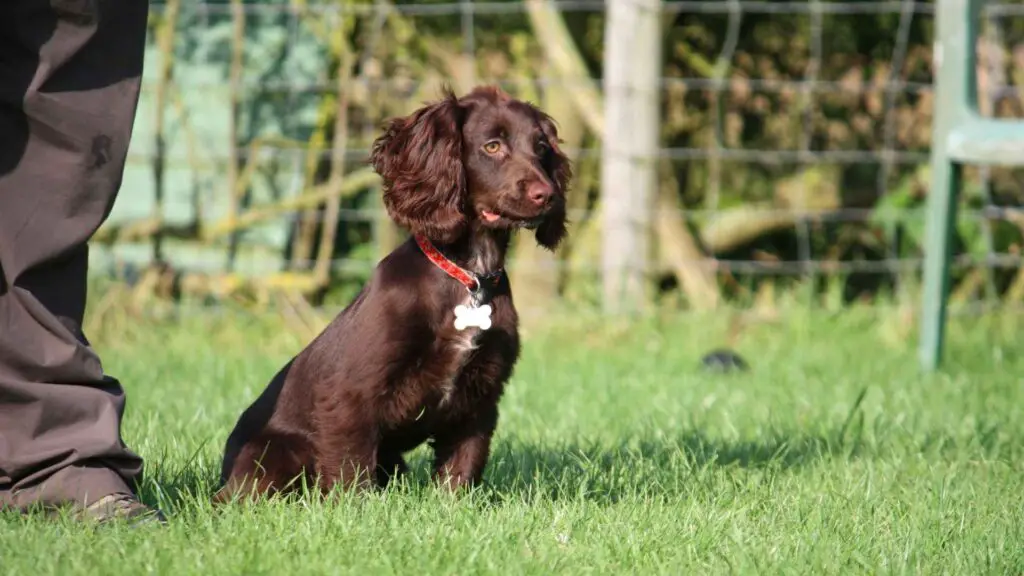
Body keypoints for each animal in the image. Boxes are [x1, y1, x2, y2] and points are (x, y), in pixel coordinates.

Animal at [215, 83, 573, 500]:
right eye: (492, 146)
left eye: (541, 147)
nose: (547, 195)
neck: (468, 276)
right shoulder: (349, 394)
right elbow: (351, 473)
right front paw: (354, 511)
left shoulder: (481, 397)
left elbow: (462, 467)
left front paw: (452, 508)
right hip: (274, 453)